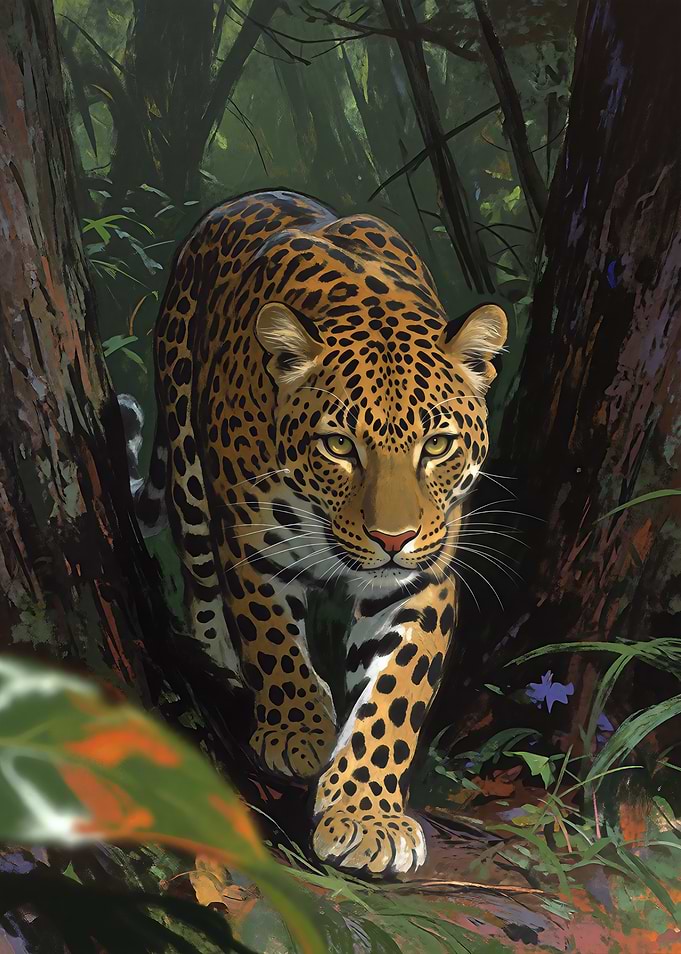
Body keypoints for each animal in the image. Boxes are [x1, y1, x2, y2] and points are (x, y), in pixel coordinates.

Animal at [124, 189, 507, 875]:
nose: (392, 539)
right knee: (200, 581)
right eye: (339, 446)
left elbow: (395, 694)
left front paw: (365, 816)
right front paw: (297, 733)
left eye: (437, 445)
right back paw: (221, 664)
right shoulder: (252, 539)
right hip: (190, 468)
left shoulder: (424, 578)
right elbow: (272, 639)